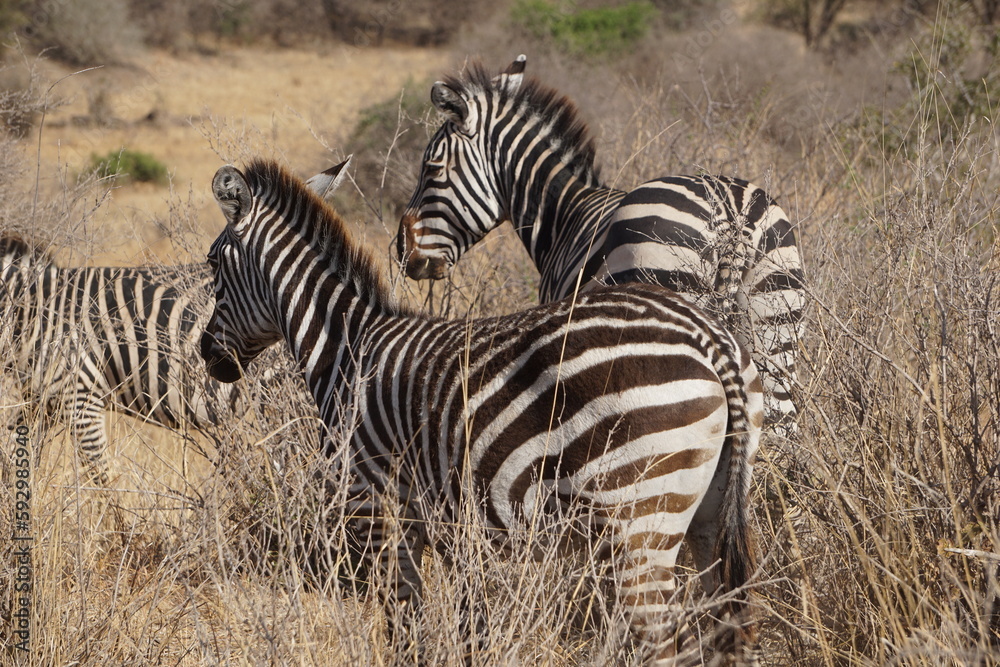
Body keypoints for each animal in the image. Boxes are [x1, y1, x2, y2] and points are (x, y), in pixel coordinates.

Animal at [0, 164, 347, 485]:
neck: (28, 309)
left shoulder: (81, 395)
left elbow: (103, 480)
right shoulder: (40, 402)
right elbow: (19, 461)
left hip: (291, 399)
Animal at [200, 158, 764, 665]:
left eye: (211, 265)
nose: (209, 355)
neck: (348, 351)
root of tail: (708, 338)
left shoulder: (380, 511)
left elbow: (406, 628)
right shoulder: (456, 533)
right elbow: (472, 627)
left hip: (640, 521)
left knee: (665, 643)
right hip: (706, 514)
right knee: (721, 628)